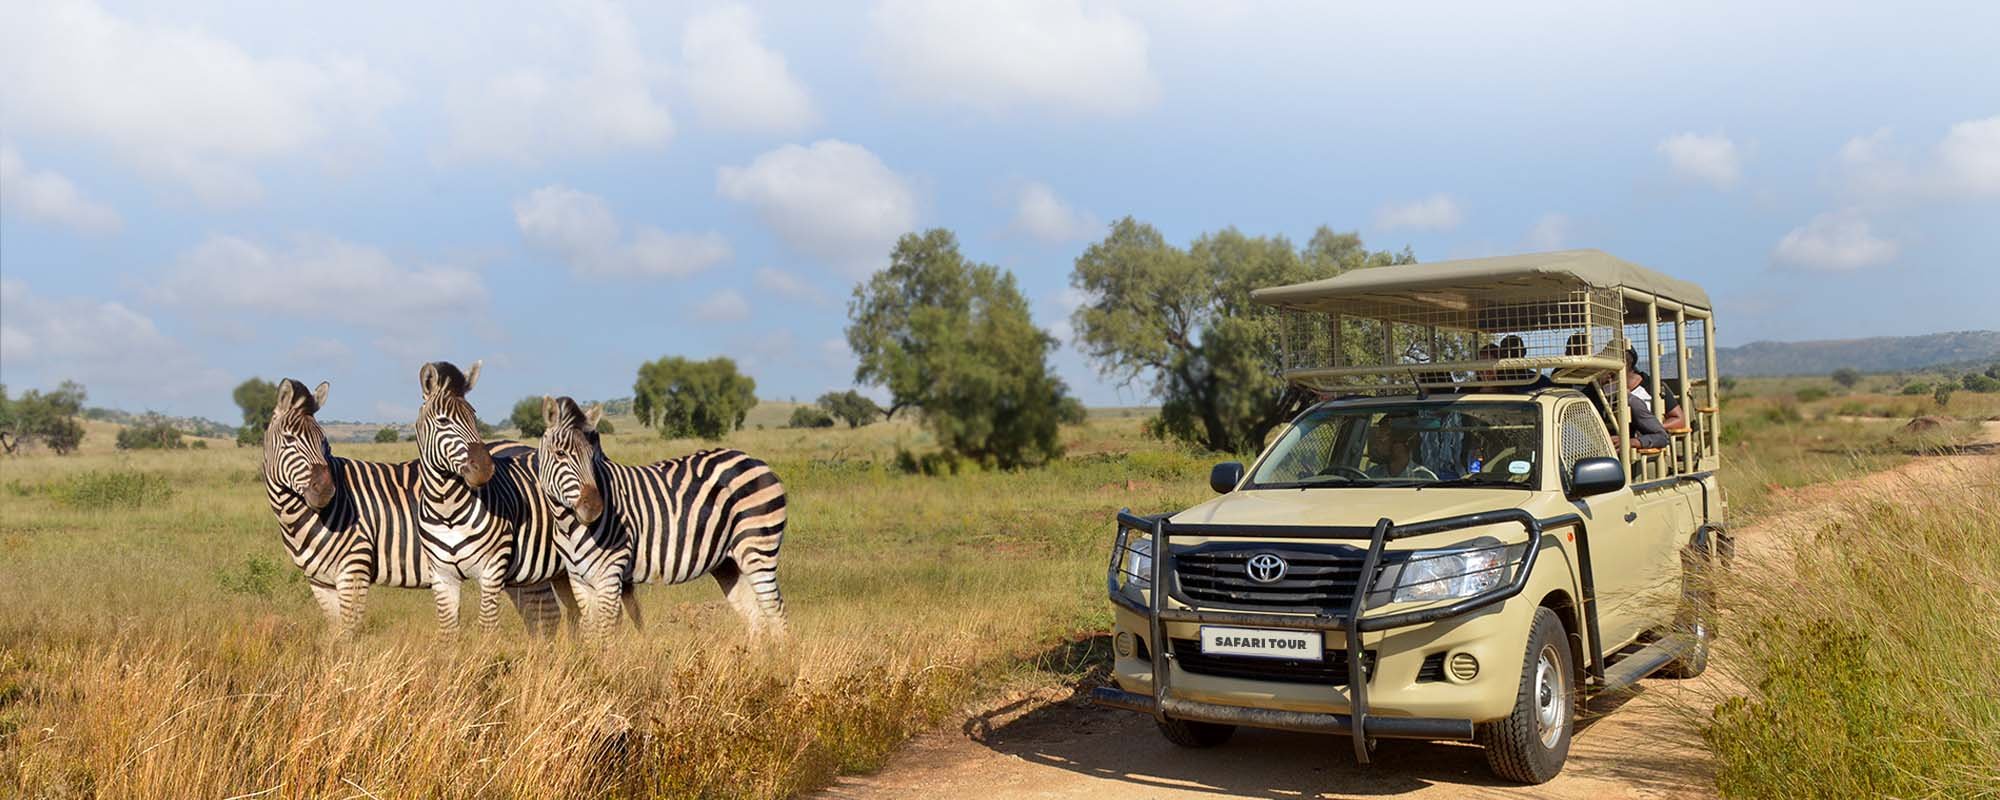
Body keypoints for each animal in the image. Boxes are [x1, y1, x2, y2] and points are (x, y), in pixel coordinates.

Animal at [262, 376, 564, 636]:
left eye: (323, 441)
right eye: (289, 439)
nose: (326, 490)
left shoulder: (354, 568)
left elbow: (348, 634)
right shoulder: (320, 582)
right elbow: (336, 634)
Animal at [414, 360, 580, 636]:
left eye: (474, 416)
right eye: (443, 420)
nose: (485, 468)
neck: (447, 509)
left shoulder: (492, 569)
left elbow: (487, 627)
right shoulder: (442, 576)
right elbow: (448, 631)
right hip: (553, 570)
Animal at [540, 396, 788, 640]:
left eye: (593, 457)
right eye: (560, 454)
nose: (594, 509)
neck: (568, 525)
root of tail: (755, 460)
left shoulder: (609, 574)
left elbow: (605, 635)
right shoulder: (579, 580)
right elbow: (591, 633)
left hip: (757, 549)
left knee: (775, 610)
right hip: (727, 563)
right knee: (755, 616)